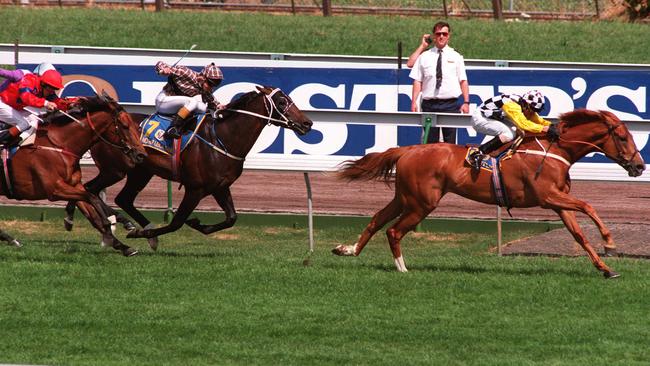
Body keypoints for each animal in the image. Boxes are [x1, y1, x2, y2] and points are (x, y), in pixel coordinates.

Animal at [0, 94, 146, 254]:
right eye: (125, 126)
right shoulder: (55, 189)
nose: (141, 155)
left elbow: (92, 213)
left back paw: (10, 239)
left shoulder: (74, 185)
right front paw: (109, 224)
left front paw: (122, 246)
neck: (60, 145)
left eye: (136, 126)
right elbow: (92, 198)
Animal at [62, 86, 312, 249]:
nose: (307, 123)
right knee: (90, 188)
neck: (223, 138)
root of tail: (96, 126)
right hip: (115, 169)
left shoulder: (220, 187)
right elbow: (176, 222)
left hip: (140, 171)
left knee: (121, 198)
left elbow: (231, 218)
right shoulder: (196, 188)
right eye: (282, 102)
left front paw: (197, 224)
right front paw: (148, 232)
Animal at [334, 108, 644, 278]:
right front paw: (610, 242)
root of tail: (407, 150)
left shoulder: (559, 203)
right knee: (394, 230)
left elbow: (579, 235)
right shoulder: (548, 197)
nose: (639, 166)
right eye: (622, 137)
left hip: (405, 197)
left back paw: (348, 249)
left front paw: (606, 269)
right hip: (422, 203)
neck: (556, 149)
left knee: (377, 219)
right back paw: (402, 268)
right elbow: (589, 206)